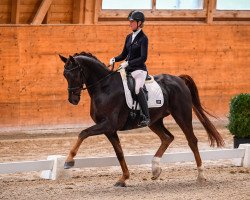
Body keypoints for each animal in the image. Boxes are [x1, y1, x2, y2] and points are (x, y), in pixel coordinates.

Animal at [59, 52, 225, 188]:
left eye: (74, 75)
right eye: (64, 76)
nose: (73, 100)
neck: (104, 87)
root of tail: (179, 79)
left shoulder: (108, 125)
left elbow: (83, 133)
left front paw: (68, 161)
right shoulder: (110, 130)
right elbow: (119, 153)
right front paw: (123, 179)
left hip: (181, 115)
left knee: (192, 141)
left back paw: (200, 175)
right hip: (154, 121)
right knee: (167, 137)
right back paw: (155, 169)